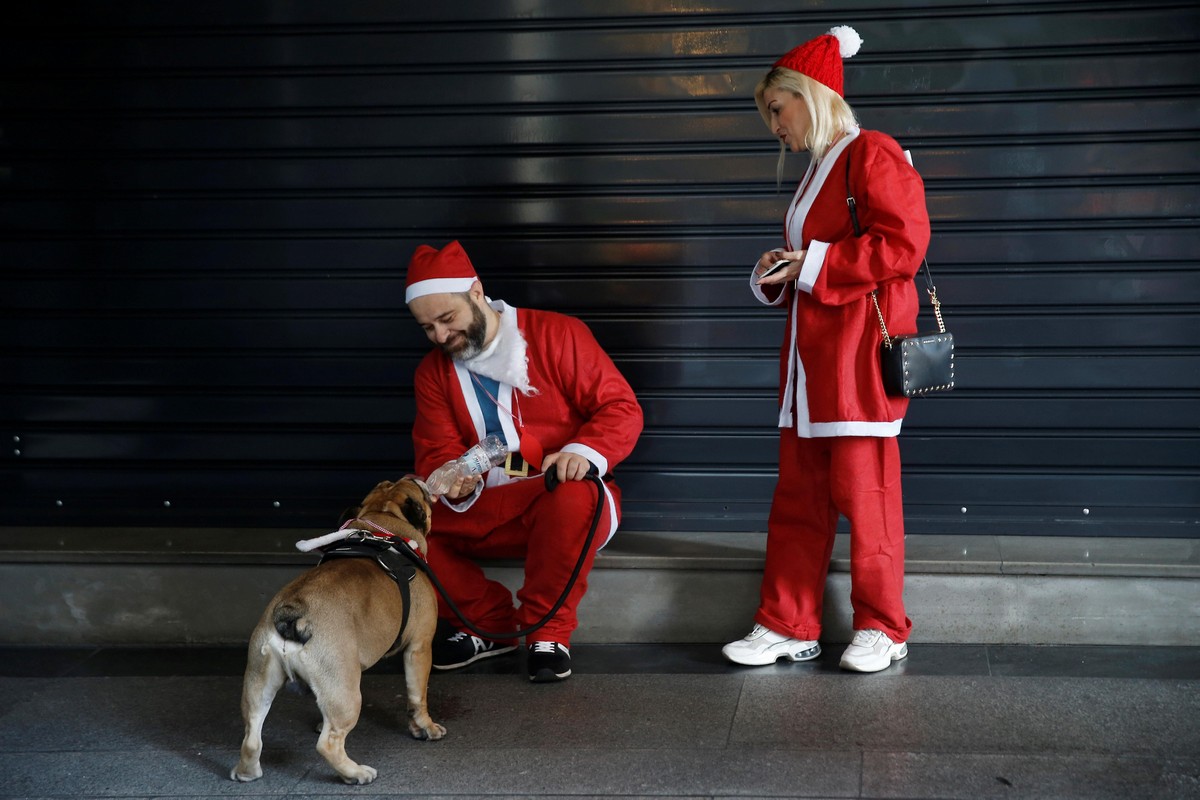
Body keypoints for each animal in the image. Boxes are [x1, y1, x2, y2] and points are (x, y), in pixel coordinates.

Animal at [230, 479, 446, 786]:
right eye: (422, 496)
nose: (420, 480)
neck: (382, 523)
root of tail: (293, 612)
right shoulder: (419, 648)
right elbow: (418, 697)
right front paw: (425, 728)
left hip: (260, 680)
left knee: (252, 734)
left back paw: (247, 772)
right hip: (346, 690)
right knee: (328, 742)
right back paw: (356, 773)